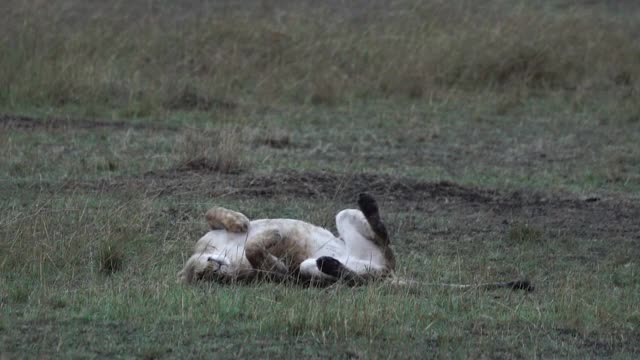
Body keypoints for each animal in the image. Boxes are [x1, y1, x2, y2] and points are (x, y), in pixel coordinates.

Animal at [178, 193, 532, 292]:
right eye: (208, 279)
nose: (216, 270)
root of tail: (388, 274)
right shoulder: (272, 275)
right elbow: (259, 253)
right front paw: (273, 242)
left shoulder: (209, 234)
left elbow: (214, 211)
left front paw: (241, 222)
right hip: (309, 269)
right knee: (356, 279)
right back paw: (331, 263)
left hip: (344, 216)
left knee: (381, 233)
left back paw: (369, 203)